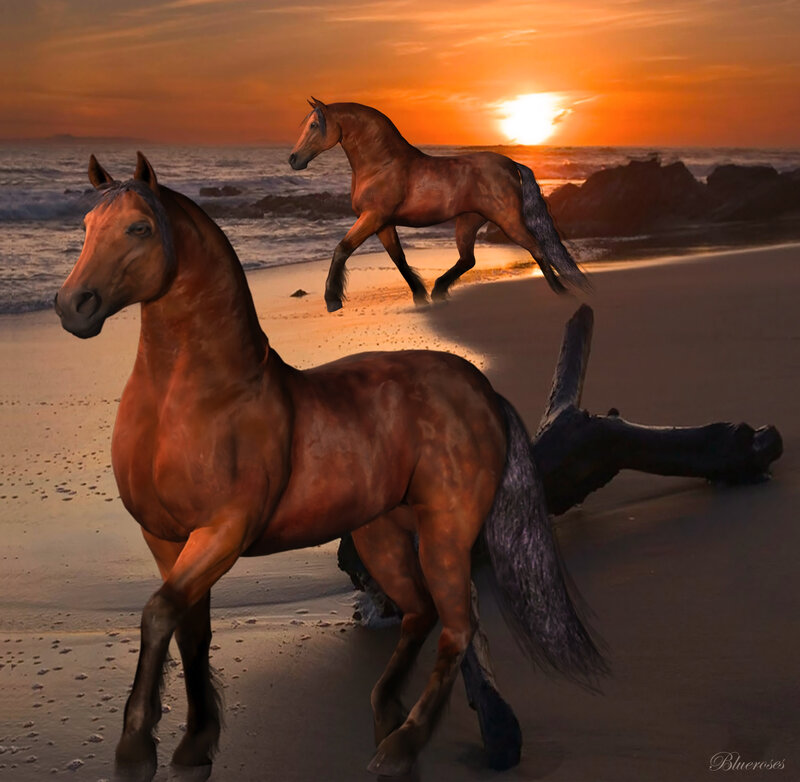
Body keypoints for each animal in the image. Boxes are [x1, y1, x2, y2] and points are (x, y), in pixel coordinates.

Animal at [54, 153, 605, 782]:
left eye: (139, 228)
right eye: (86, 227)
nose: (73, 306)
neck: (193, 399)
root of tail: (482, 388)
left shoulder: (223, 532)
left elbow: (157, 614)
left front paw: (135, 751)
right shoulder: (166, 539)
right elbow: (189, 630)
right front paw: (194, 747)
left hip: (446, 529)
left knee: (456, 626)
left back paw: (401, 745)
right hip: (379, 532)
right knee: (418, 613)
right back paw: (385, 716)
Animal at [289, 98, 588, 312]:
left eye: (314, 125)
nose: (293, 159)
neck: (382, 164)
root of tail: (511, 163)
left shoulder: (373, 217)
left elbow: (343, 248)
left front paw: (332, 299)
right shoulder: (383, 223)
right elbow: (398, 258)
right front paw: (420, 296)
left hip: (508, 220)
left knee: (536, 247)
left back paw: (561, 292)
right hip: (468, 220)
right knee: (468, 259)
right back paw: (438, 291)